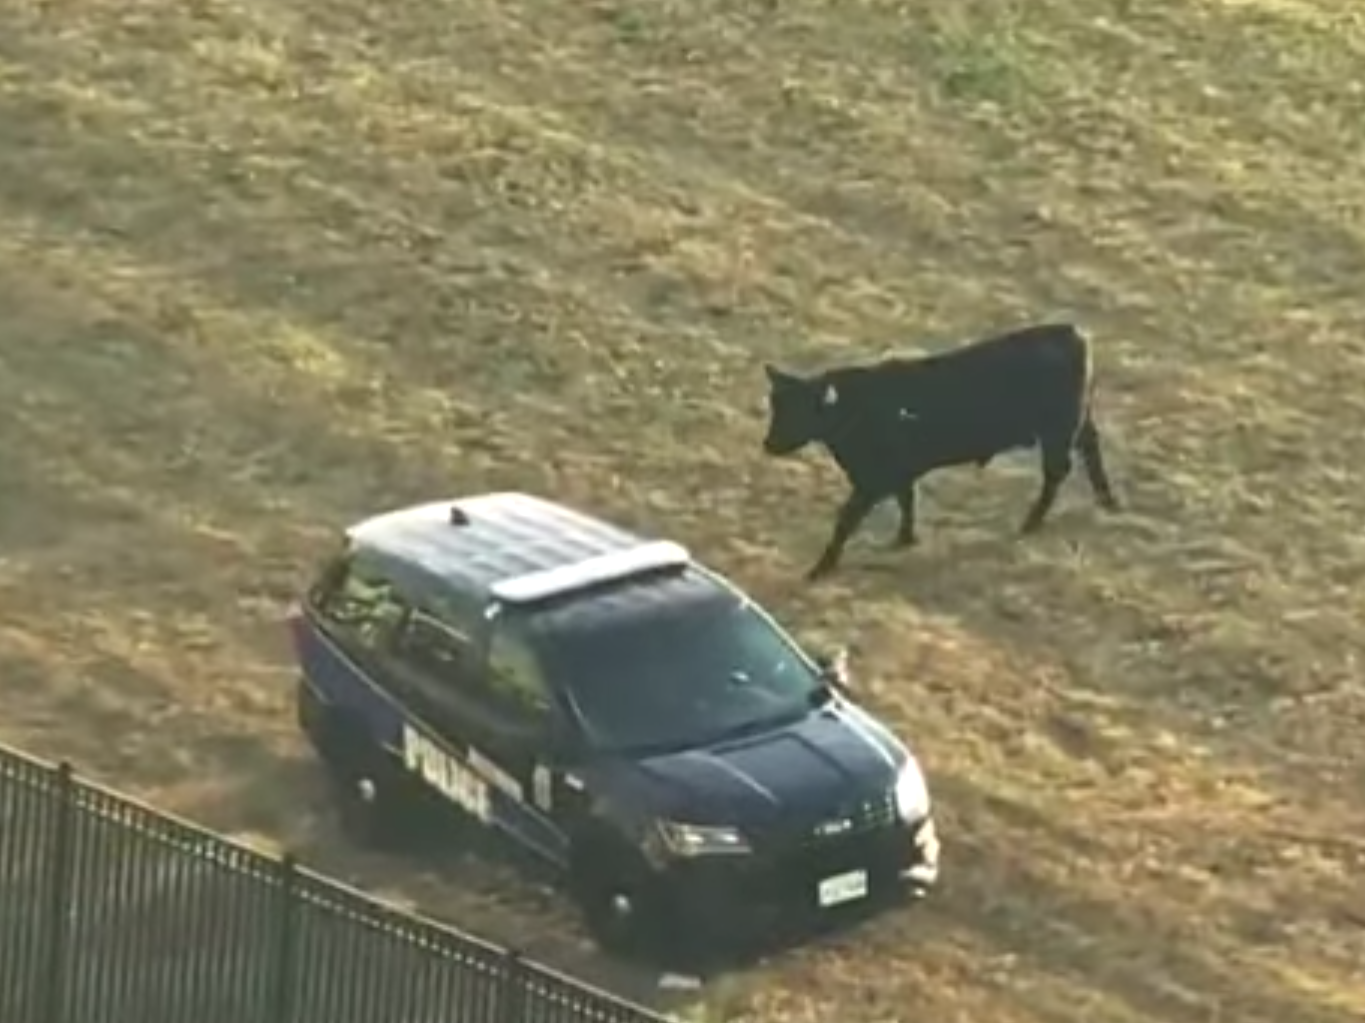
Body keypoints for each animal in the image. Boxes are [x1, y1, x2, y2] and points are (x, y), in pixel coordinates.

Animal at [761, 322, 1122, 580]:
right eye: (776, 405)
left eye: (801, 410)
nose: (768, 445)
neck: (858, 409)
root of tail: (1072, 332)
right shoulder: (899, 475)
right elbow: (907, 501)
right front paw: (905, 538)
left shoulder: (872, 482)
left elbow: (846, 521)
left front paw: (820, 568)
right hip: (1077, 425)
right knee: (1091, 448)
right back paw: (1107, 501)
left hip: (1057, 432)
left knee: (1056, 473)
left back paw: (1031, 523)